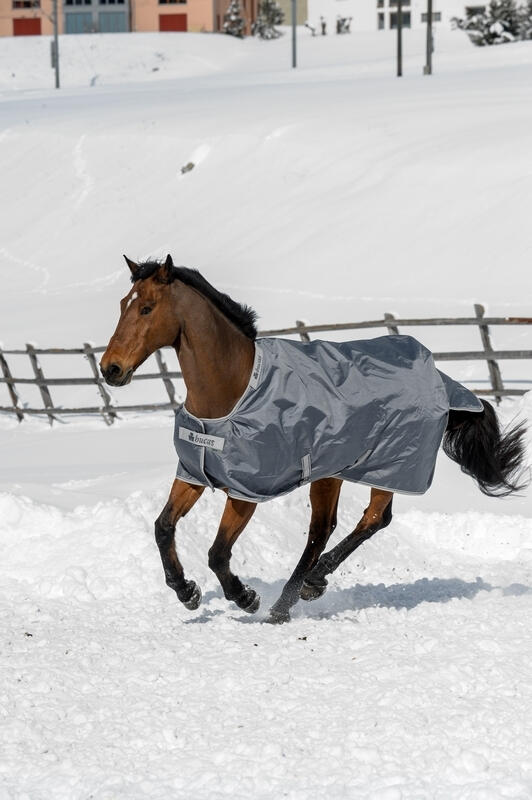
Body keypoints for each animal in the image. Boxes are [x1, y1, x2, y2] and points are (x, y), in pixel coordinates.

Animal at [100, 255, 528, 624]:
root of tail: (441, 377)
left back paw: (303, 588)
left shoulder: (245, 491)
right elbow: (163, 527)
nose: (110, 369)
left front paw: (245, 597)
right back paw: (292, 598)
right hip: (331, 471)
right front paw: (186, 591)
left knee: (371, 519)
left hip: (388, 468)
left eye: (147, 308)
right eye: (123, 304)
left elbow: (218, 553)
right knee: (324, 529)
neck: (231, 392)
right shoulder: (194, 473)